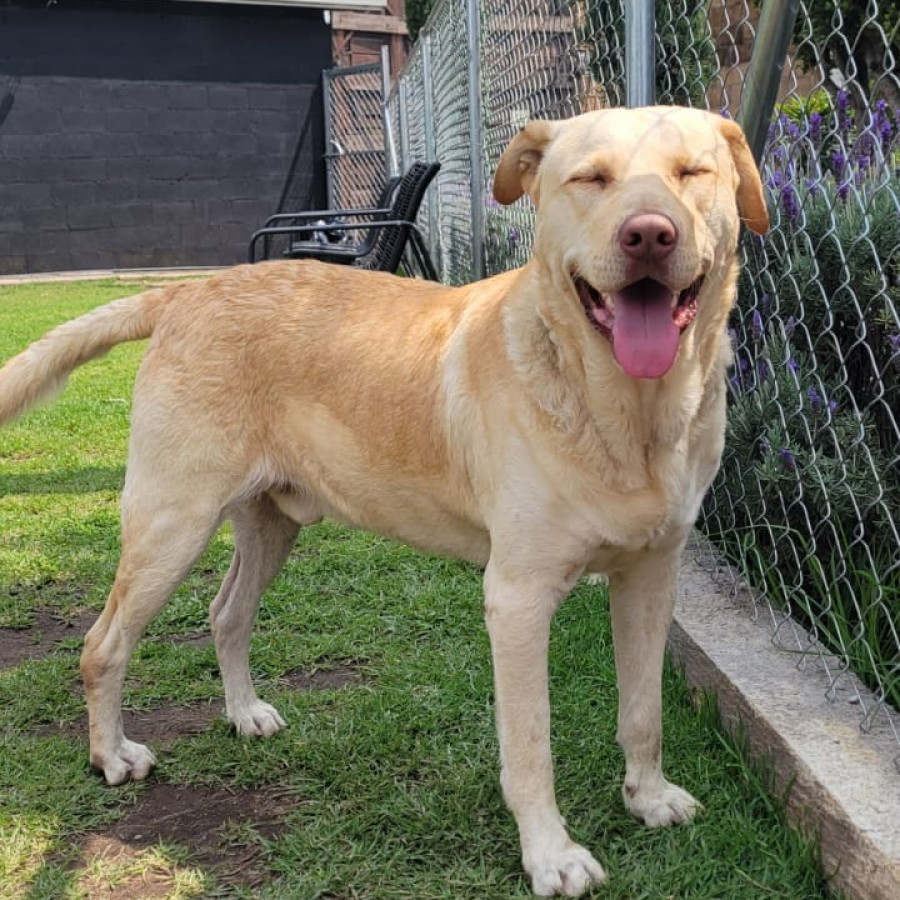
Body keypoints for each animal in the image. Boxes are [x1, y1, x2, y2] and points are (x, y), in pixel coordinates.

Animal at [0, 107, 768, 892]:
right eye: (590, 179)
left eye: (692, 173)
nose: (648, 235)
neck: (629, 414)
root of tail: (189, 291)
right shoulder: (517, 599)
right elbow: (530, 746)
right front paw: (549, 855)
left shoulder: (650, 576)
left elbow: (644, 710)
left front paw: (648, 797)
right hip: (171, 524)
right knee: (103, 644)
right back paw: (110, 756)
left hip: (270, 524)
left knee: (225, 614)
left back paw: (243, 713)